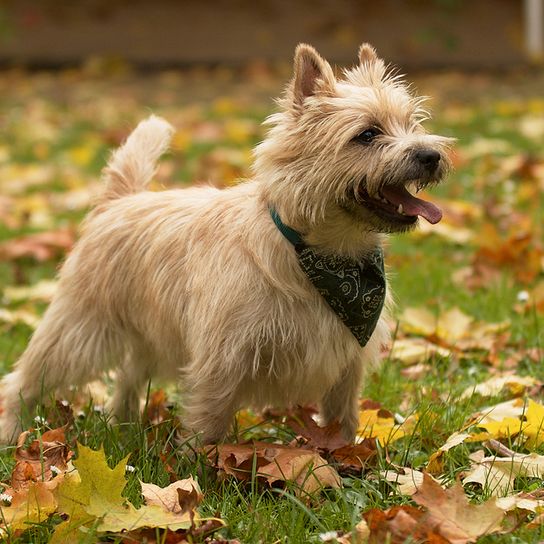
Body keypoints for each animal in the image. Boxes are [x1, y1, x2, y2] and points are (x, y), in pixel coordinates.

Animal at [0, 42, 450, 442]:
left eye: (413, 125)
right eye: (367, 134)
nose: (430, 155)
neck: (324, 256)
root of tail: (120, 200)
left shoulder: (346, 365)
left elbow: (342, 419)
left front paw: (344, 461)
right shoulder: (223, 358)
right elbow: (209, 423)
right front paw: (200, 473)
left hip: (149, 334)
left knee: (128, 376)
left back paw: (125, 426)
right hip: (79, 330)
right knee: (23, 380)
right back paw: (12, 433)